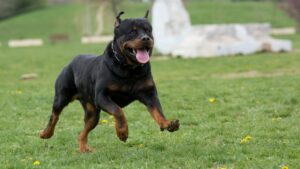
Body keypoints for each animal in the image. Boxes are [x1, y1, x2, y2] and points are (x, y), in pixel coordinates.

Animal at [39, 10, 180, 153]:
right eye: (132, 31)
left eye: (148, 31)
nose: (146, 38)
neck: (129, 68)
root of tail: (70, 62)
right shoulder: (102, 96)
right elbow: (118, 111)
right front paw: (122, 132)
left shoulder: (149, 93)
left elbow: (157, 110)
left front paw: (167, 123)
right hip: (62, 97)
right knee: (54, 116)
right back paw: (46, 133)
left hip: (92, 114)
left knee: (84, 130)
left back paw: (84, 148)